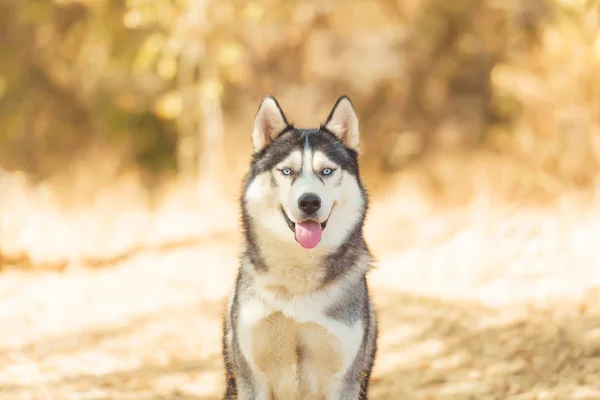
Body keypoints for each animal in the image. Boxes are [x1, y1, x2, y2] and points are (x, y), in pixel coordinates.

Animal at [223, 95, 378, 398]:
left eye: (326, 171)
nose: (309, 201)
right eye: (287, 171)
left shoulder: (344, 380)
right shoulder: (252, 377)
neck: (297, 286)